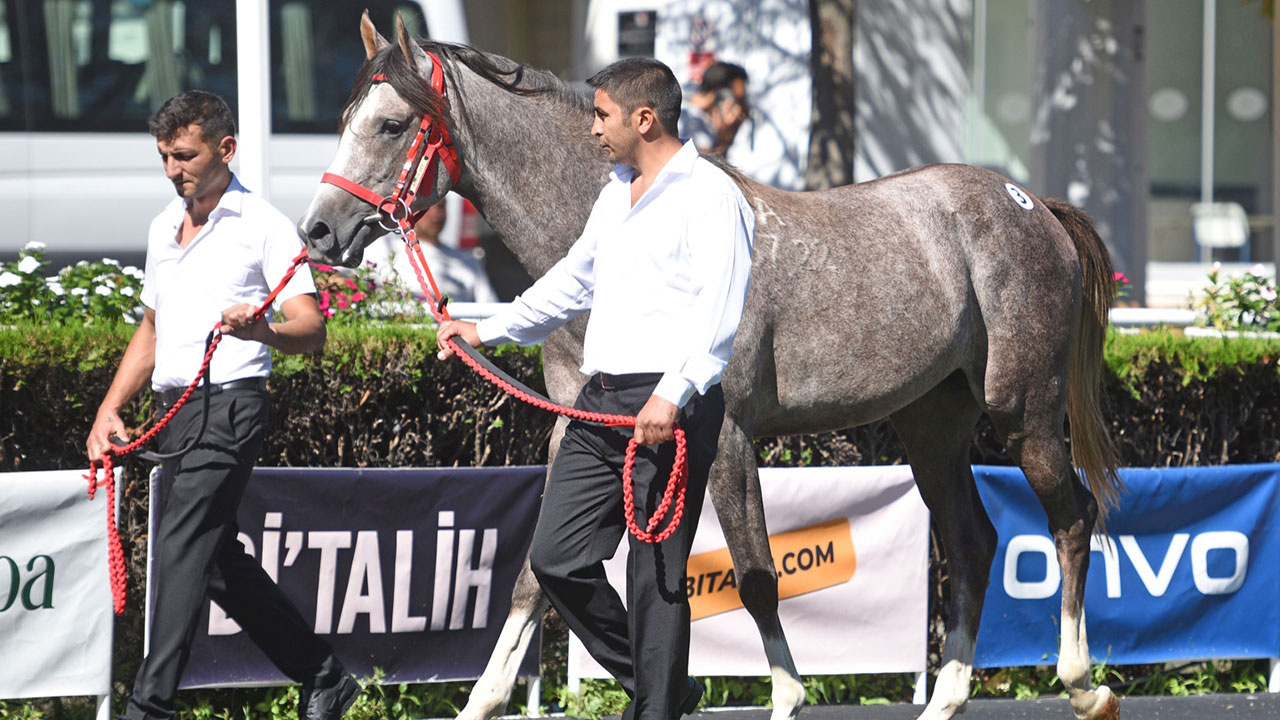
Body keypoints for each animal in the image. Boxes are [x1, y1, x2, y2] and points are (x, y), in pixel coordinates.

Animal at [296, 15, 1121, 717]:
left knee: (1071, 517)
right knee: (972, 542)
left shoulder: (722, 435)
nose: (318, 231)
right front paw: (485, 699)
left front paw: (785, 696)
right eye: (342, 120)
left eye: (391, 124)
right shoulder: (577, 431)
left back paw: (1084, 684)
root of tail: (1030, 203)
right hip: (934, 423)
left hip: (1025, 411)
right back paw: (946, 698)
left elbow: (756, 576)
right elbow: (536, 573)